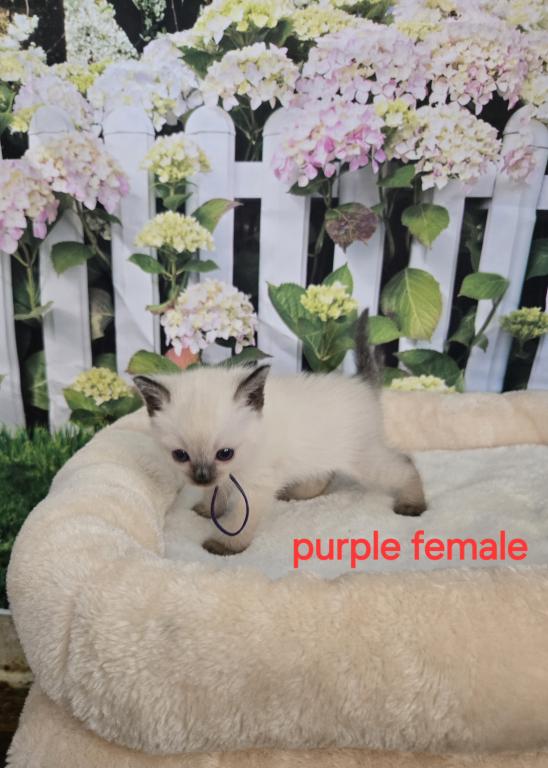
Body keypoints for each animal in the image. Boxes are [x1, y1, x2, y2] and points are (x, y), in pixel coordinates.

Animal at [134, 311, 426, 555]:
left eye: (225, 453)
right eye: (180, 455)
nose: (202, 477)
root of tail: (363, 383)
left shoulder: (255, 487)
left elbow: (239, 521)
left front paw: (226, 545)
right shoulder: (228, 478)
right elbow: (216, 494)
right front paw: (208, 509)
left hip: (365, 461)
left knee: (406, 464)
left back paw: (413, 504)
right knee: (325, 473)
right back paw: (297, 493)